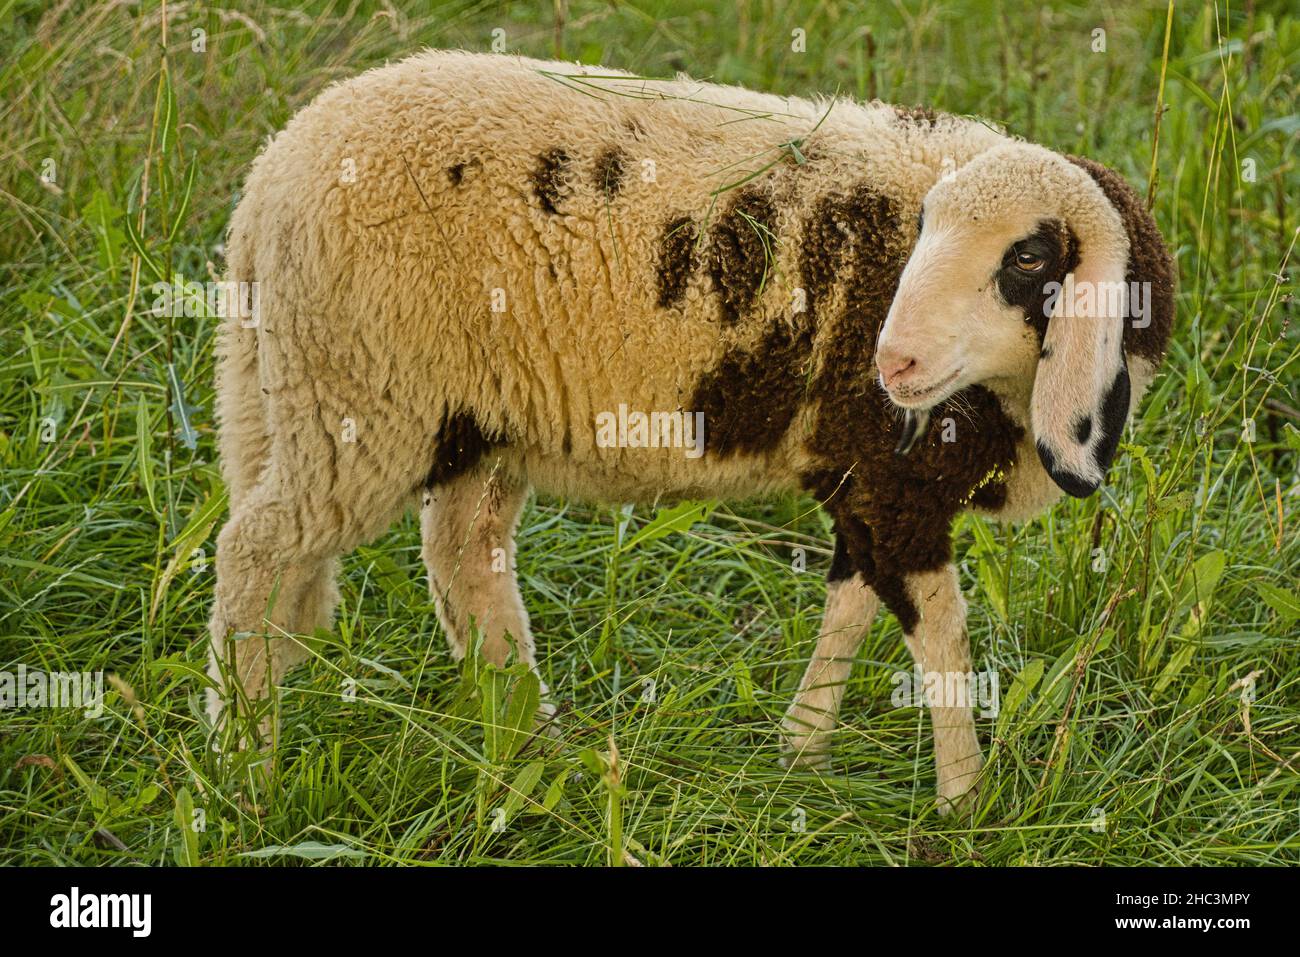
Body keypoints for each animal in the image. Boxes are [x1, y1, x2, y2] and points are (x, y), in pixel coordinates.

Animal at [208, 48, 1175, 811]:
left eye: (1027, 257)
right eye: (927, 233)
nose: (891, 363)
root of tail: (269, 176)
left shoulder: (872, 479)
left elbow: (852, 607)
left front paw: (800, 752)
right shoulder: (891, 480)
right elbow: (941, 632)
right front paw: (964, 801)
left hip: (454, 417)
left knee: (460, 562)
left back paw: (532, 741)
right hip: (362, 399)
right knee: (258, 550)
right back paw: (246, 760)